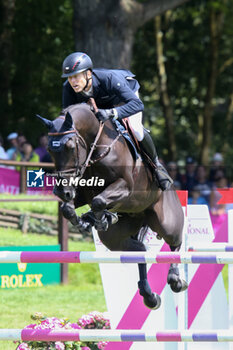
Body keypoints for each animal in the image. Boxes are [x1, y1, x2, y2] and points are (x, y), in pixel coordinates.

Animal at [37, 103, 188, 308]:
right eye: (49, 149)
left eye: (70, 146)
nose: (62, 191)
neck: (96, 149)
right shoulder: (81, 192)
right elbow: (68, 208)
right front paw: (85, 221)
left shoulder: (125, 187)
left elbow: (99, 201)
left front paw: (99, 219)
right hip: (115, 238)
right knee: (140, 250)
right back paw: (149, 296)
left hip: (166, 222)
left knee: (175, 242)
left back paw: (176, 280)